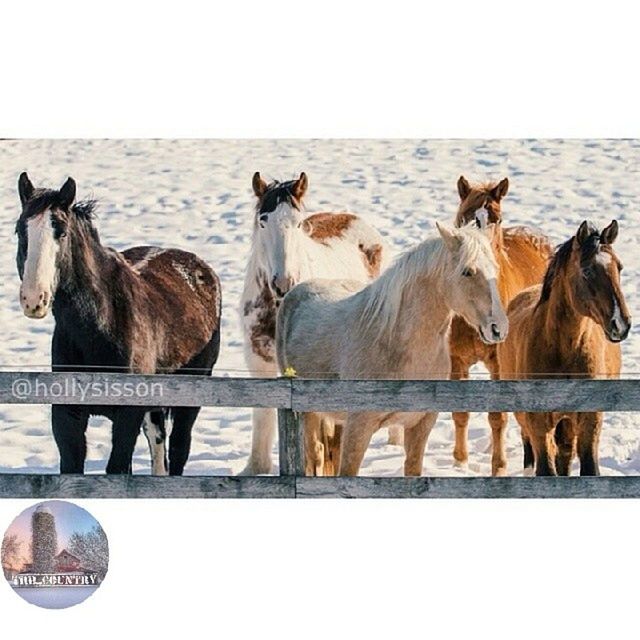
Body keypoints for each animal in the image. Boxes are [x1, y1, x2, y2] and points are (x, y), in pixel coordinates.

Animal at [15, 175, 222, 476]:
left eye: (61, 233)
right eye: (20, 231)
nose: (33, 299)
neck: (100, 327)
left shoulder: (127, 415)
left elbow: (117, 469)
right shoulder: (67, 414)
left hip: (192, 394)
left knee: (179, 448)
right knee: (158, 443)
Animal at [448, 175, 552, 476]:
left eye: (497, 218)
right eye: (465, 216)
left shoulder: (498, 364)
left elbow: (498, 416)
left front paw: (499, 467)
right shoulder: (457, 360)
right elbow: (460, 412)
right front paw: (460, 463)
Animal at [496, 220, 632, 476]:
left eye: (618, 267)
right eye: (587, 271)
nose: (621, 324)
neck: (564, 349)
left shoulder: (590, 420)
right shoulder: (538, 421)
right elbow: (545, 469)